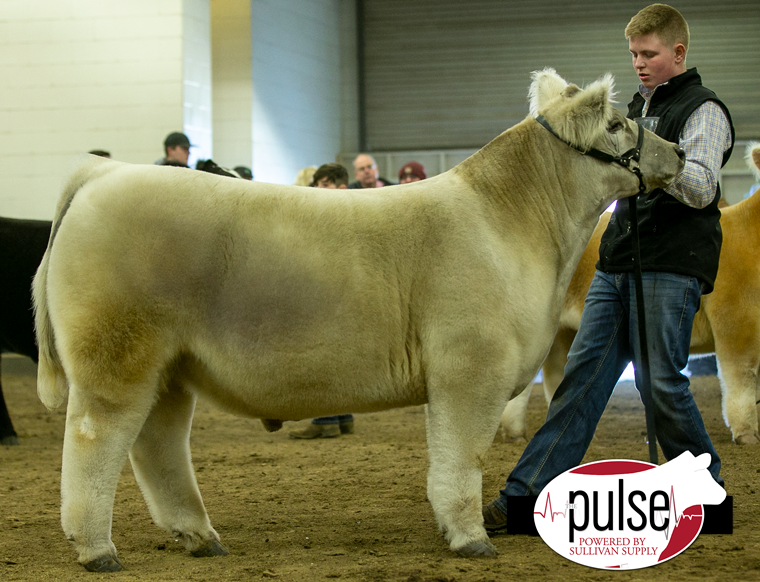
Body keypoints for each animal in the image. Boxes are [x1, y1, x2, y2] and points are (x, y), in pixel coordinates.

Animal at [32, 69, 684, 576]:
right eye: (617, 125)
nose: (678, 153)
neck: (516, 224)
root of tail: (105, 174)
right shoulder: (471, 370)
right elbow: (462, 460)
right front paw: (471, 538)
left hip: (169, 366)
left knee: (157, 444)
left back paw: (200, 537)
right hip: (119, 354)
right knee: (94, 439)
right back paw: (98, 549)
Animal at [502, 141, 760, 448]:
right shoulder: (736, 322)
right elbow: (742, 381)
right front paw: (747, 434)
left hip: (564, 332)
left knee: (556, 375)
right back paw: (514, 431)